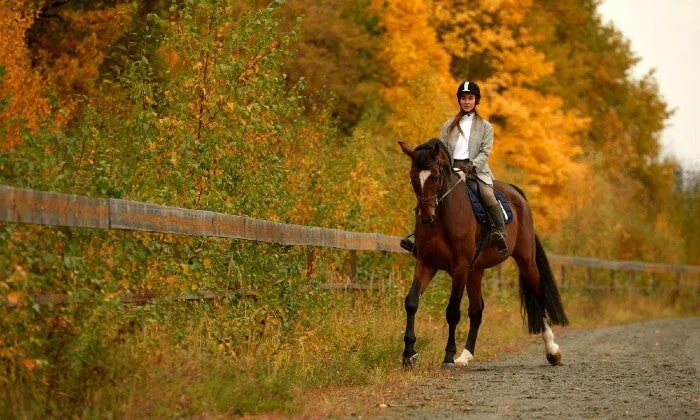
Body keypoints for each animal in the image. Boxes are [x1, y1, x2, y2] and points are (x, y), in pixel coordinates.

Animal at [400, 139, 568, 370]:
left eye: (435, 175)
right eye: (413, 176)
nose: (426, 217)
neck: (443, 219)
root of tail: (515, 193)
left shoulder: (460, 268)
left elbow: (452, 312)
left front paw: (447, 358)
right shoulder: (426, 263)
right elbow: (412, 302)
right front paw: (409, 355)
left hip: (525, 261)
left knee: (538, 296)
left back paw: (552, 351)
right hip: (475, 271)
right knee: (476, 310)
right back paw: (465, 356)